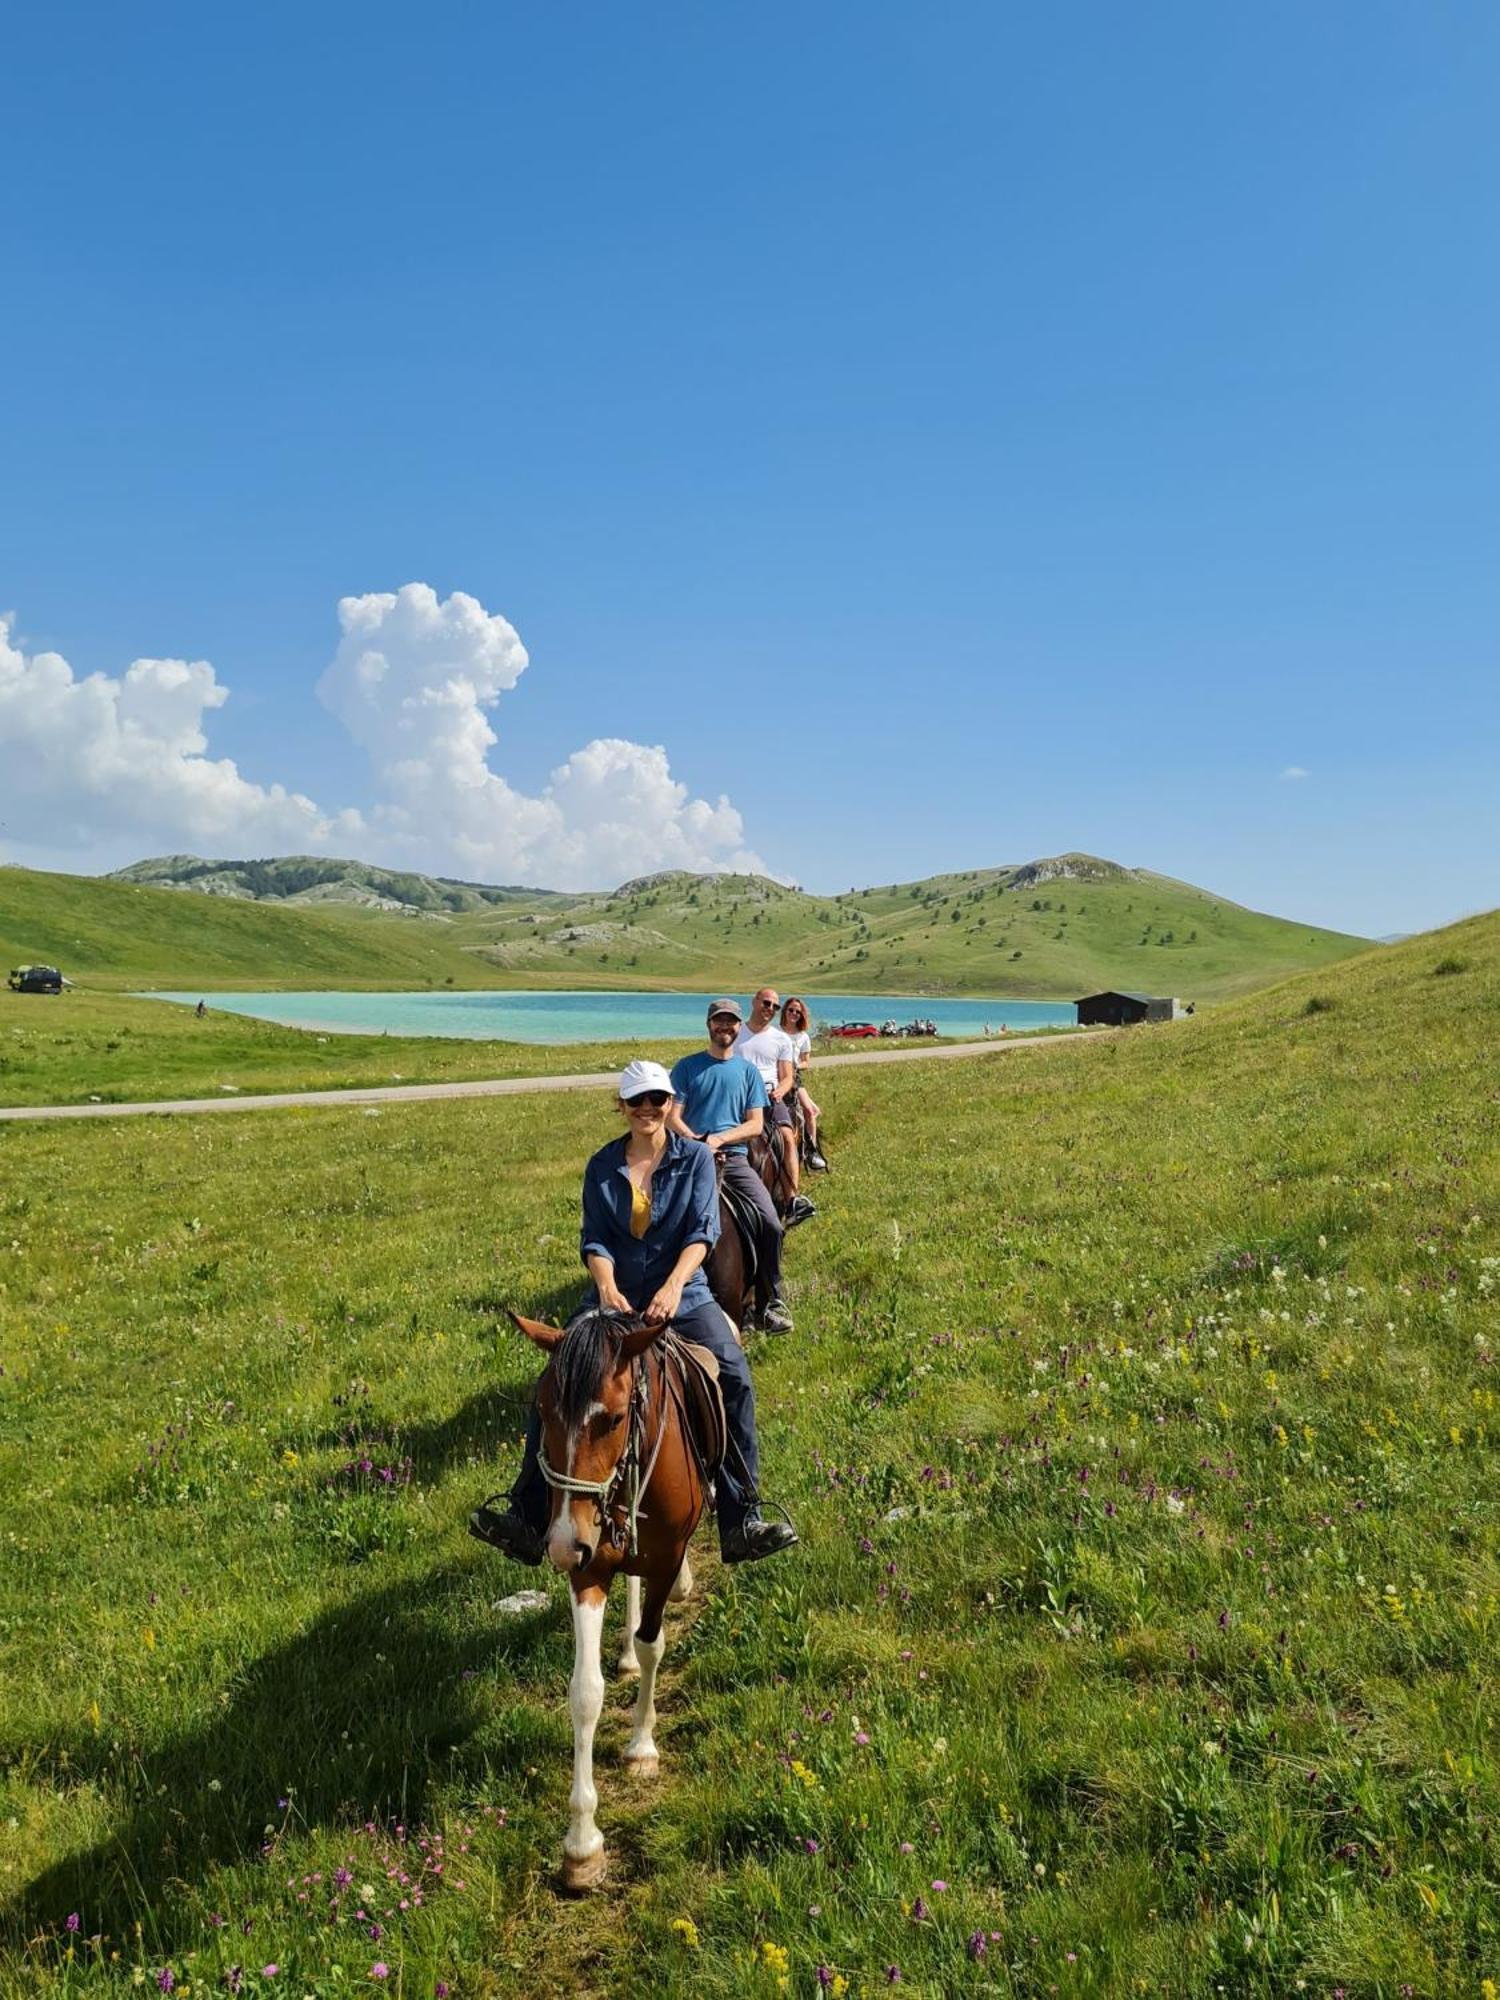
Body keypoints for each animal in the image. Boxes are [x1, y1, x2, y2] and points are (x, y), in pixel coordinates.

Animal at [516, 1304, 708, 1880]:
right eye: (542, 1413)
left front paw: (642, 1745)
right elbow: (585, 1692)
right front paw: (581, 1846)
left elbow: (654, 1646)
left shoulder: (665, 1554)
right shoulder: (590, 1567)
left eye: (616, 1418)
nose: (560, 1544)